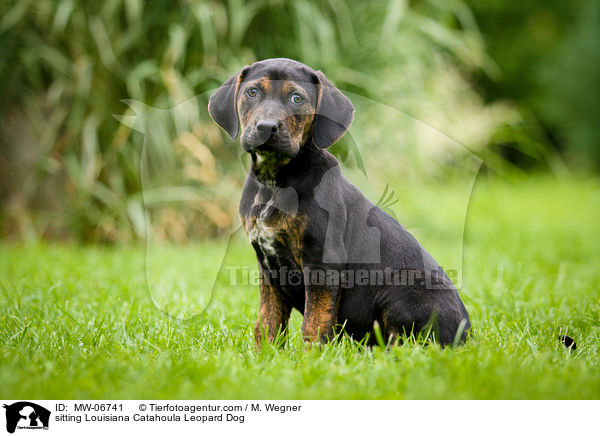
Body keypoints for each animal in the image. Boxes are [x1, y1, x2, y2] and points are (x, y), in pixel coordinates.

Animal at [209, 58, 472, 346]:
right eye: (252, 92)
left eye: (296, 98)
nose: (266, 127)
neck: (274, 181)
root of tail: (468, 336)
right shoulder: (267, 265)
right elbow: (268, 321)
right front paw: (266, 354)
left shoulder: (322, 261)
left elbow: (314, 323)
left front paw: (312, 356)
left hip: (406, 285)